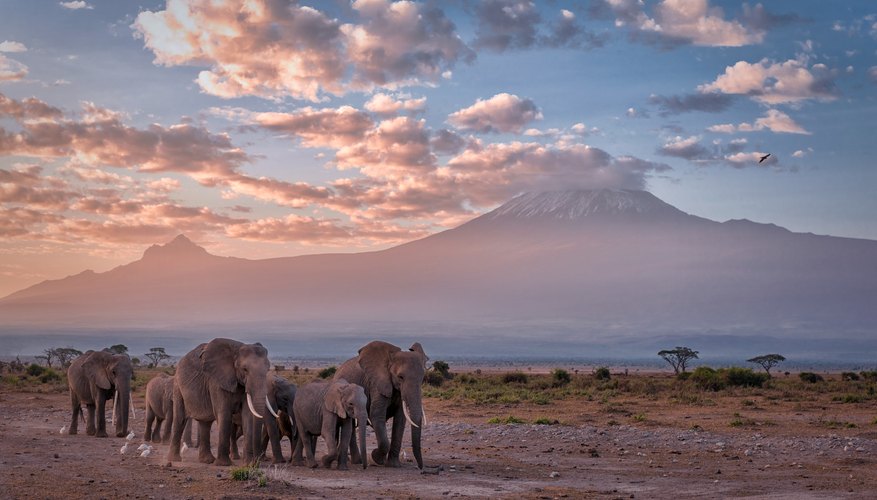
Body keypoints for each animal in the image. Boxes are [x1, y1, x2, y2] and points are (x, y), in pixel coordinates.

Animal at [164, 338, 274, 466]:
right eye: (245, 369)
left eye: (267, 370)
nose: (255, 462)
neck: (236, 350)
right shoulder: (216, 381)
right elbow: (224, 413)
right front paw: (224, 464)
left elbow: (247, 415)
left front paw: (249, 464)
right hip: (178, 386)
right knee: (180, 419)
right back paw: (175, 459)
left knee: (205, 423)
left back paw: (207, 461)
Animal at [336, 340, 428, 468]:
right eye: (400, 377)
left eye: (422, 378)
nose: (420, 467)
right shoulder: (376, 384)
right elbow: (376, 415)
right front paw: (376, 457)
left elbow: (400, 420)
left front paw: (394, 465)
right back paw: (357, 461)